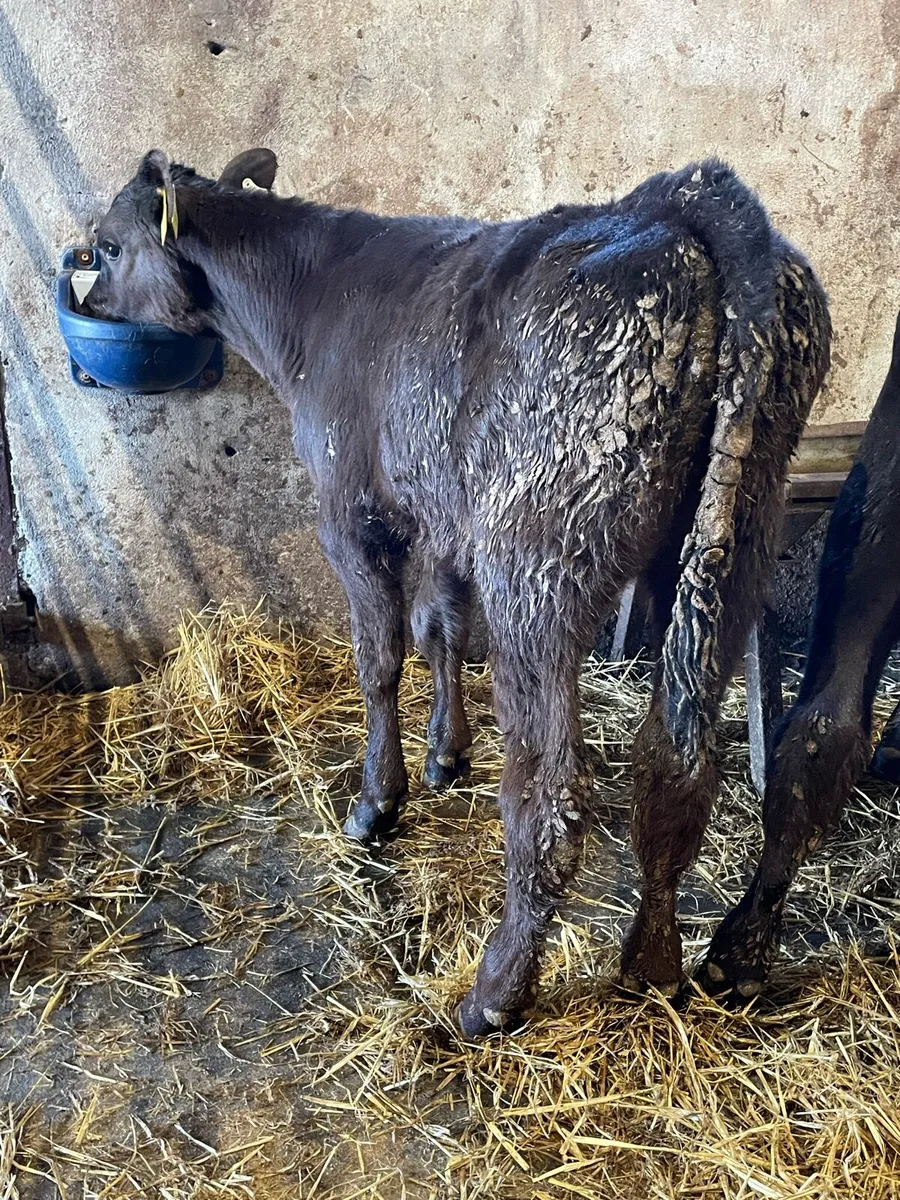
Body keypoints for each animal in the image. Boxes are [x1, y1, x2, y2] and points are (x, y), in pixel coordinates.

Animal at [85, 148, 830, 1035]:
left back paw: (496, 992)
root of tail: (686, 205)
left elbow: (380, 660)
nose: (83, 300)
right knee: (676, 765)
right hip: (737, 535)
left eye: (105, 245)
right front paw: (447, 751)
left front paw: (379, 801)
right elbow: (438, 626)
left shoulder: (353, 516)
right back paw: (659, 967)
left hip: (536, 561)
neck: (309, 302)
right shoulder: (440, 513)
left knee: (551, 792)